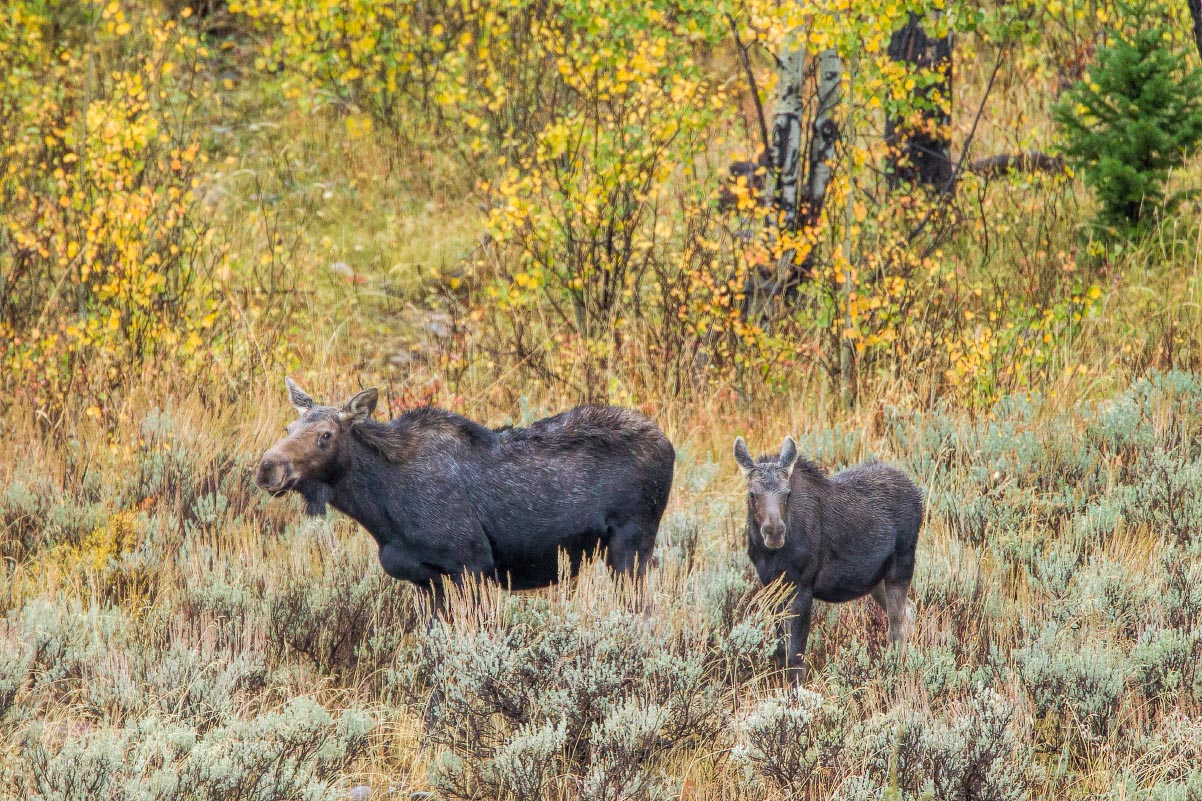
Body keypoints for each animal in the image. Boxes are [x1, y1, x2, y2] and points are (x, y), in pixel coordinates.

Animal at [254, 377, 677, 601]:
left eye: (325, 435)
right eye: (289, 428)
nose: (267, 468)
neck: (380, 508)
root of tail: (670, 447)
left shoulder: (471, 565)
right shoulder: (427, 581)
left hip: (631, 546)